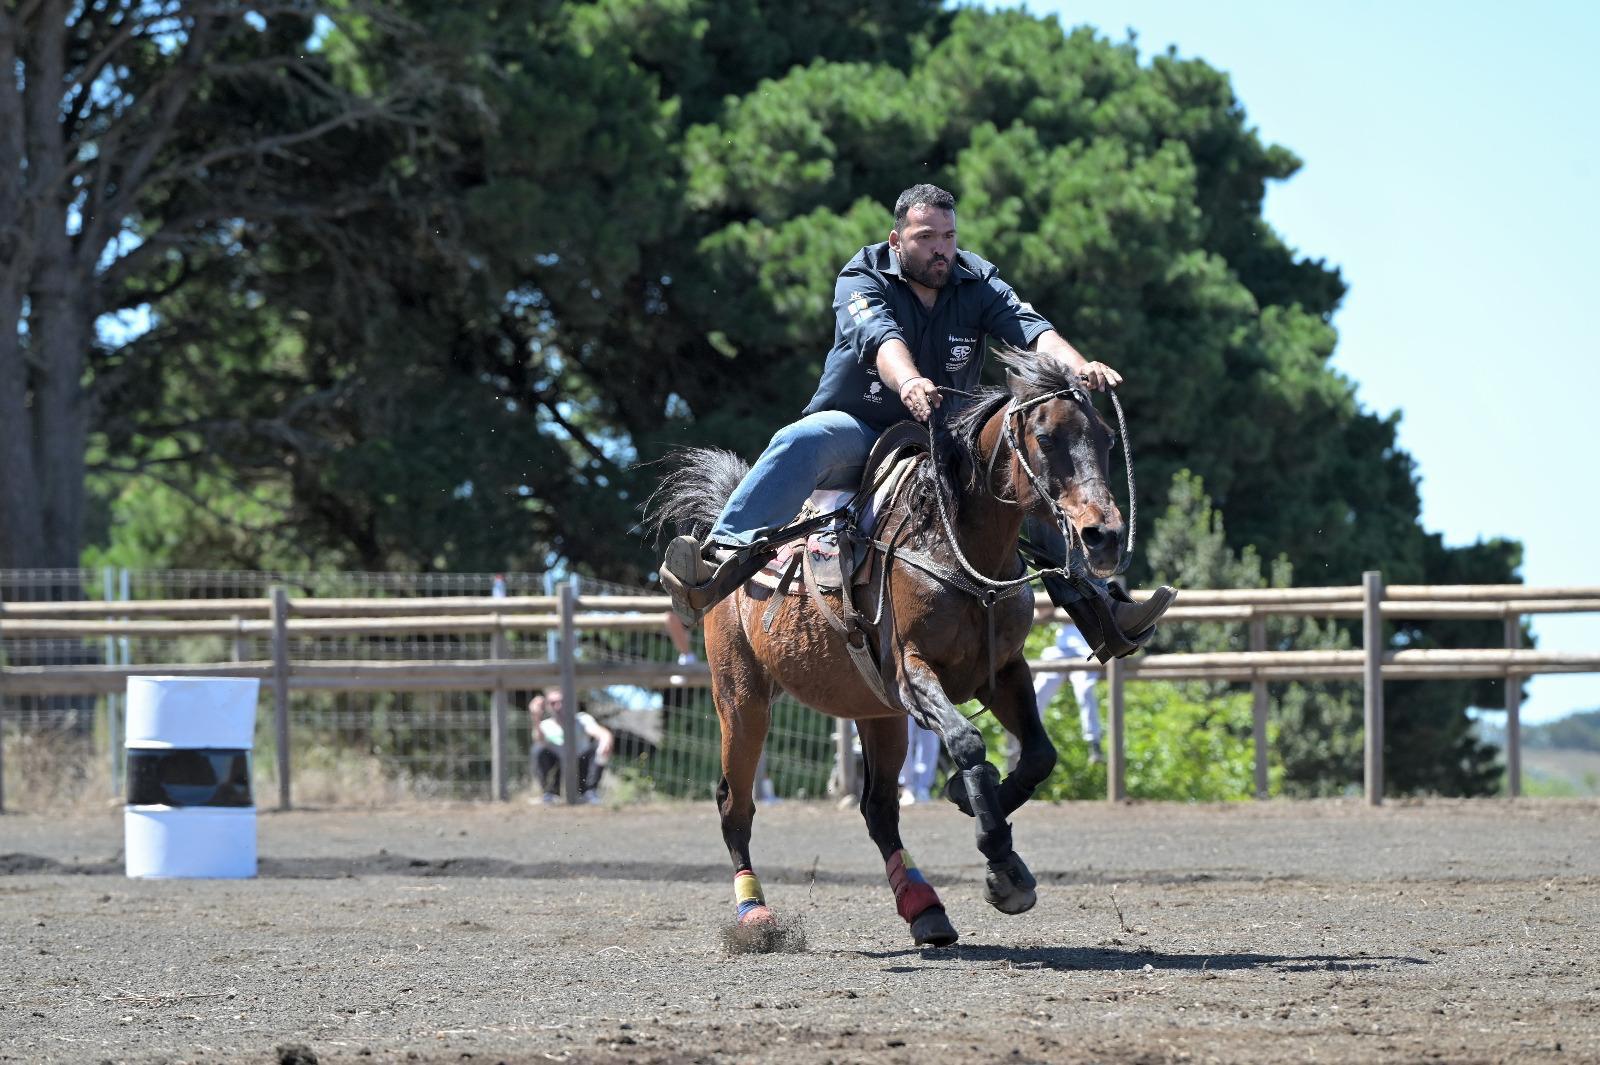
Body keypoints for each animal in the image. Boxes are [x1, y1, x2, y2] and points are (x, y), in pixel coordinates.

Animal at [643, 350, 1120, 946]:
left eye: (1105, 437)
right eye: (1045, 435)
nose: (1104, 535)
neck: (952, 544)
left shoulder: (1005, 670)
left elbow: (1039, 754)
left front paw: (968, 798)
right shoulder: (911, 673)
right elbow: (968, 744)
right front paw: (1002, 866)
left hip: (875, 712)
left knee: (879, 809)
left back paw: (925, 908)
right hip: (741, 697)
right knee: (736, 805)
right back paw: (755, 916)